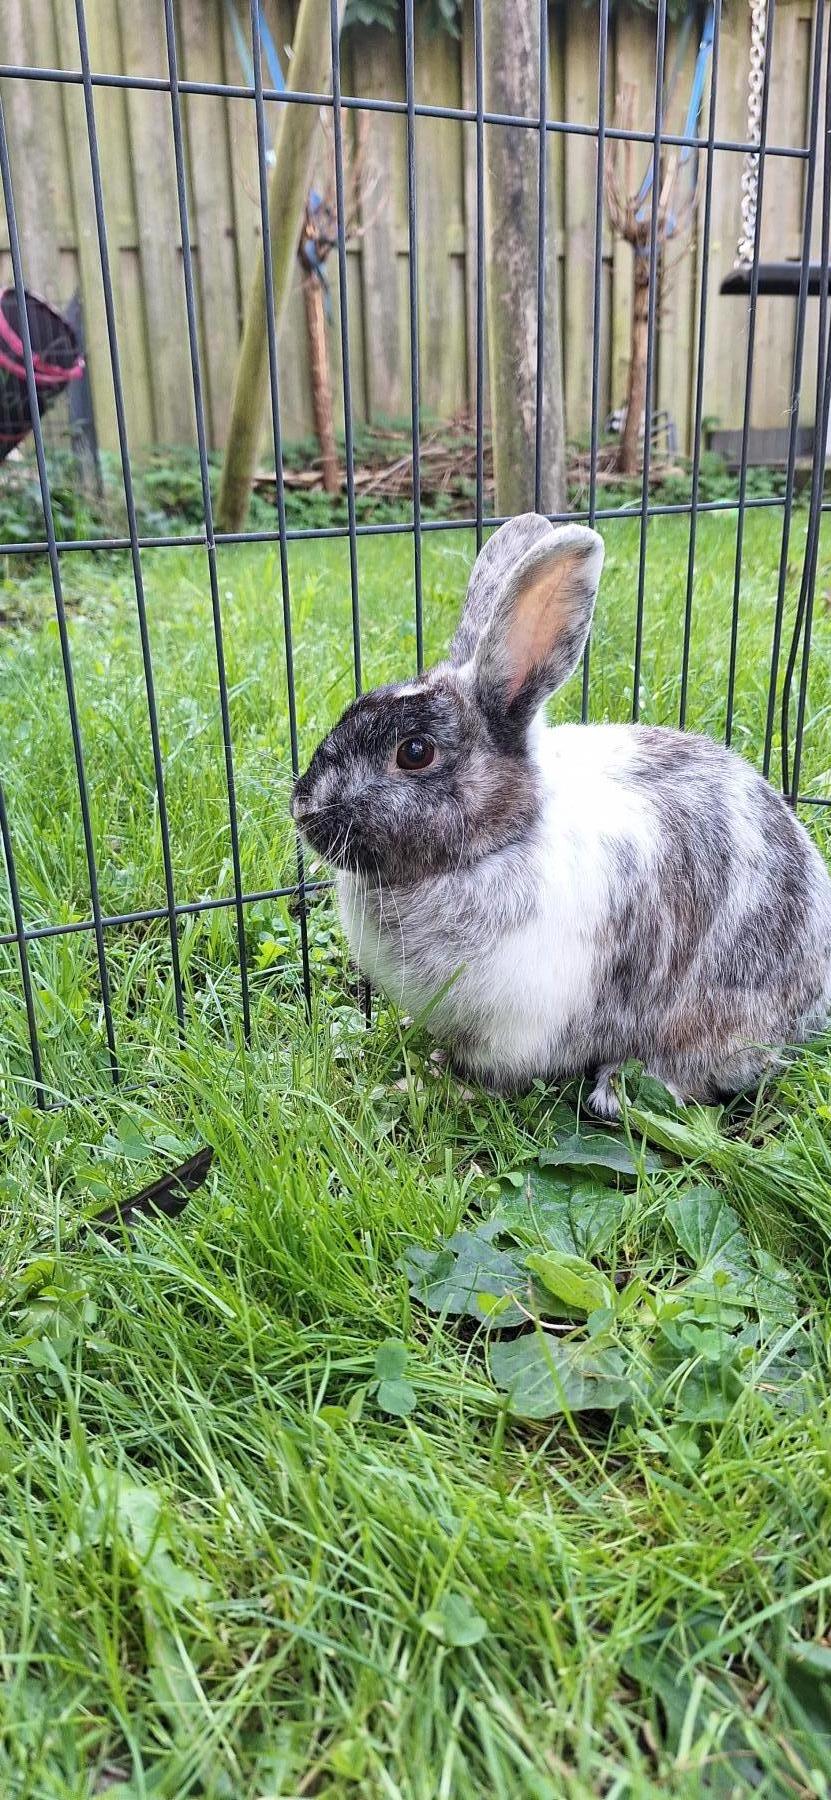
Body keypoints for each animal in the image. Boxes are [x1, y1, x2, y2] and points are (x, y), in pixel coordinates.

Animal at [291, 513, 831, 1116]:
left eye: (415, 752)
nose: (303, 806)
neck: (504, 838)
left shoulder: (517, 1023)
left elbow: (490, 1073)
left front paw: (431, 1085)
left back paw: (614, 1091)